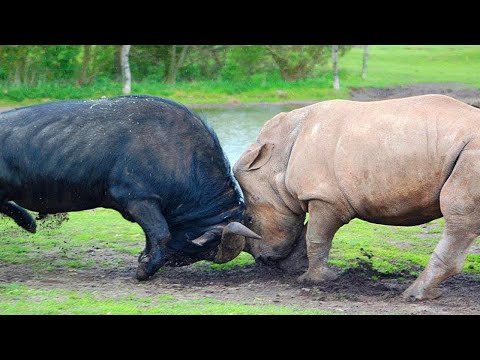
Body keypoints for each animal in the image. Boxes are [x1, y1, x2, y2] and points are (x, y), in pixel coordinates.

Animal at [0, 95, 258, 278]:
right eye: (205, 249)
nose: (173, 262)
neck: (181, 155)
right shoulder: (139, 199)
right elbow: (160, 233)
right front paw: (145, 269)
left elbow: (150, 235)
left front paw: (145, 258)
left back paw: (29, 223)